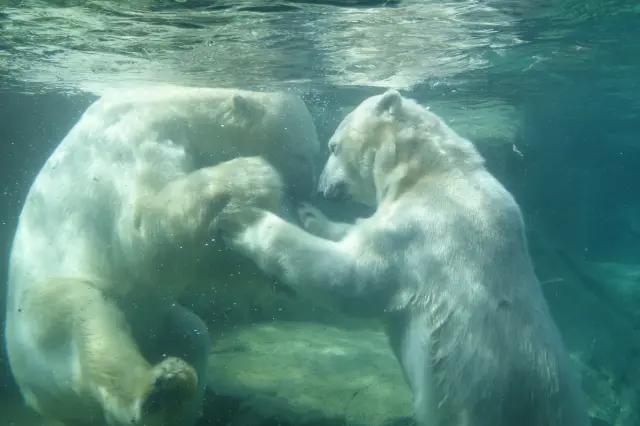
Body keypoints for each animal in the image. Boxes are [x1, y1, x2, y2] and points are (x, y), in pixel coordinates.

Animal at [4, 85, 318, 426]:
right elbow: (143, 226)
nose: (314, 191)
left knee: (191, 332)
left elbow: (198, 260)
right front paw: (252, 174)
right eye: (304, 154)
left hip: (154, 319)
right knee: (88, 324)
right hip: (42, 319)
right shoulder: (139, 141)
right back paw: (157, 391)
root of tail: (36, 397)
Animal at [214, 89, 592, 426]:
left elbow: (351, 278)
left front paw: (244, 219)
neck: (432, 170)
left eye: (333, 146)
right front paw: (311, 216)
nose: (321, 189)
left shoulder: (424, 232)